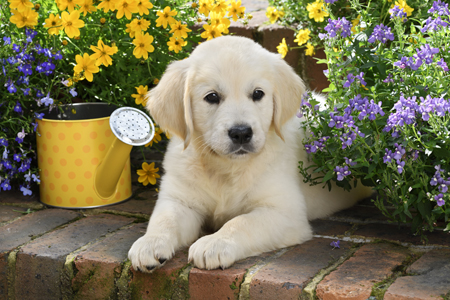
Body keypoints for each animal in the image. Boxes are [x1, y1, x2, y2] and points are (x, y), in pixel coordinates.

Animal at [127, 35, 372, 272]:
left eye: (257, 94)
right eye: (212, 97)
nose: (241, 133)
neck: (226, 167)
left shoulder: (284, 212)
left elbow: (240, 223)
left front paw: (214, 244)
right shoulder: (179, 200)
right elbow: (164, 219)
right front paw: (149, 243)